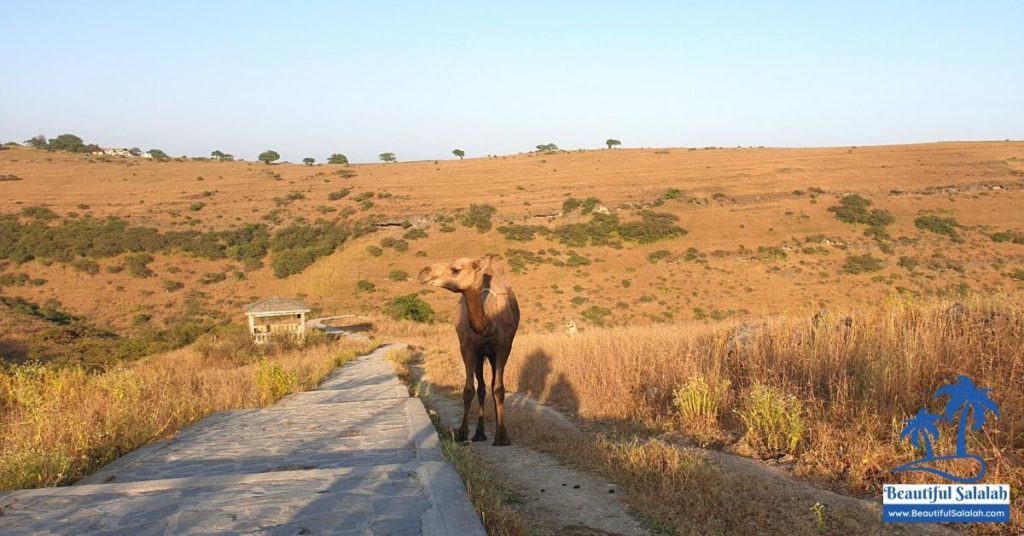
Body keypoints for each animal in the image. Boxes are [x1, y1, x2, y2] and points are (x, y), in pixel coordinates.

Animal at [415, 255, 520, 444]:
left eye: (455, 269)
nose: (424, 272)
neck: (488, 324)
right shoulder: (467, 348)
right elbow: (469, 389)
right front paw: (462, 433)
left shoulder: (504, 347)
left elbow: (499, 389)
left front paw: (502, 436)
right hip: (480, 355)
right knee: (482, 388)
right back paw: (479, 434)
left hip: (491, 354)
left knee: (492, 386)